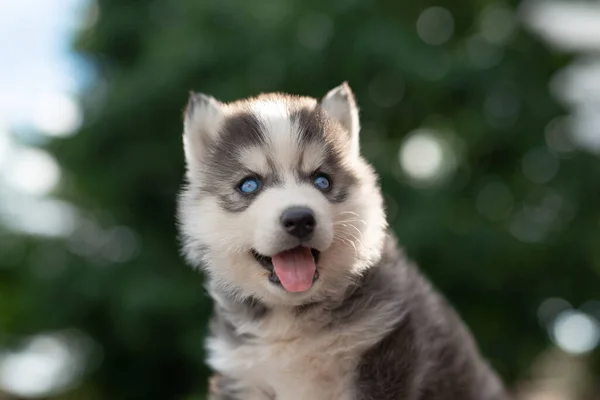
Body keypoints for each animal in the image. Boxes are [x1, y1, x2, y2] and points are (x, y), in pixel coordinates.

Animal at [177, 83, 510, 398]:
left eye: (322, 181)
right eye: (249, 185)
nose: (299, 218)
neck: (292, 320)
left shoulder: (382, 357)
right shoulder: (243, 375)